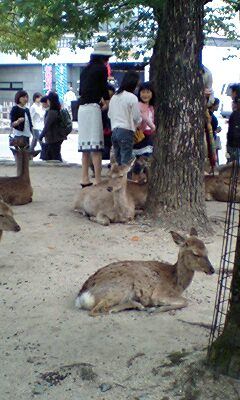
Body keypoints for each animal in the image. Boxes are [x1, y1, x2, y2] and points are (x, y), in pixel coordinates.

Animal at [75, 228, 214, 316]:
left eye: (207, 251)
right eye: (196, 253)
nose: (212, 270)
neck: (177, 284)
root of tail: (82, 296)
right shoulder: (160, 293)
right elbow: (186, 301)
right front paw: (155, 309)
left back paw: (139, 305)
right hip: (119, 288)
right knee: (97, 310)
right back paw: (142, 306)